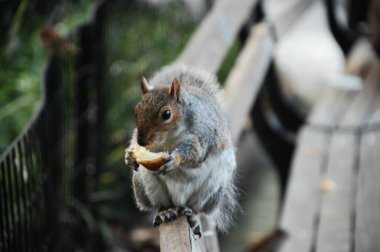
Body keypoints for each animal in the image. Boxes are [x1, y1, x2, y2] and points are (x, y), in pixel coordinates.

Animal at [124, 64, 238, 237]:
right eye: (136, 111)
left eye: (167, 114)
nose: (141, 141)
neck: (169, 139)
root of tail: (179, 202)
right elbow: (133, 144)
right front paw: (129, 157)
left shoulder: (202, 135)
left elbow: (195, 154)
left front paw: (174, 159)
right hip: (147, 185)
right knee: (162, 204)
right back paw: (165, 212)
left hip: (212, 187)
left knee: (197, 208)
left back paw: (192, 214)